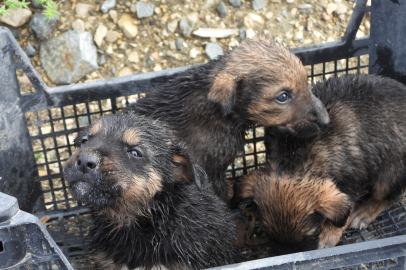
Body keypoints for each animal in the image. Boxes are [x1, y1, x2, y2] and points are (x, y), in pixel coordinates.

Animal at [233, 74, 406, 255]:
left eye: (308, 236)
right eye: (267, 233)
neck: (294, 158)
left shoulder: (350, 182)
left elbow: (344, 211)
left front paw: (329, 234)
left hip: (391, 173)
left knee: (388, 197)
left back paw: (364, 212)